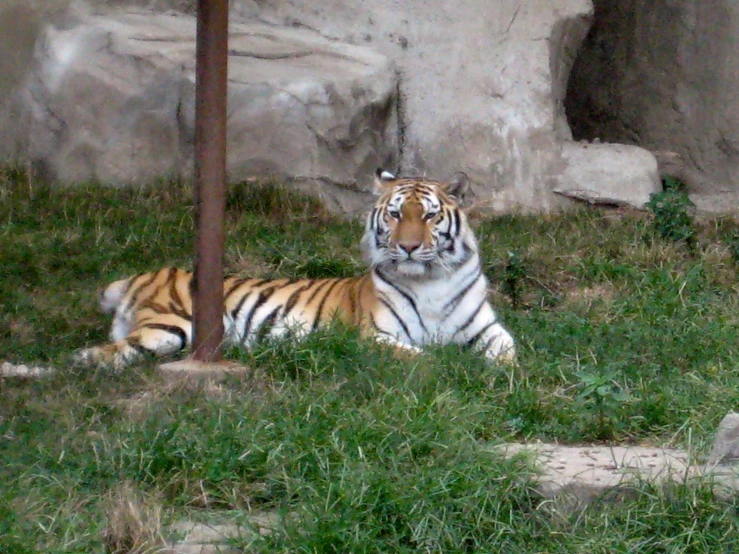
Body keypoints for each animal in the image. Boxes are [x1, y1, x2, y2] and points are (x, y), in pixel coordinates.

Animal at [73, 168, 516, 366]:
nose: (407, 247)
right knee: (110, 350)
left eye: (427, 216)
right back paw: (78, 361)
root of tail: (143, 274)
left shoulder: (488, 330)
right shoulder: (374, 336)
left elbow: (510, 353)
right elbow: (425, 358)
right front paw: (452, 366)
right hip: (173, 326)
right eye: (394, 215)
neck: (431, 281)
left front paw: (503, 375)